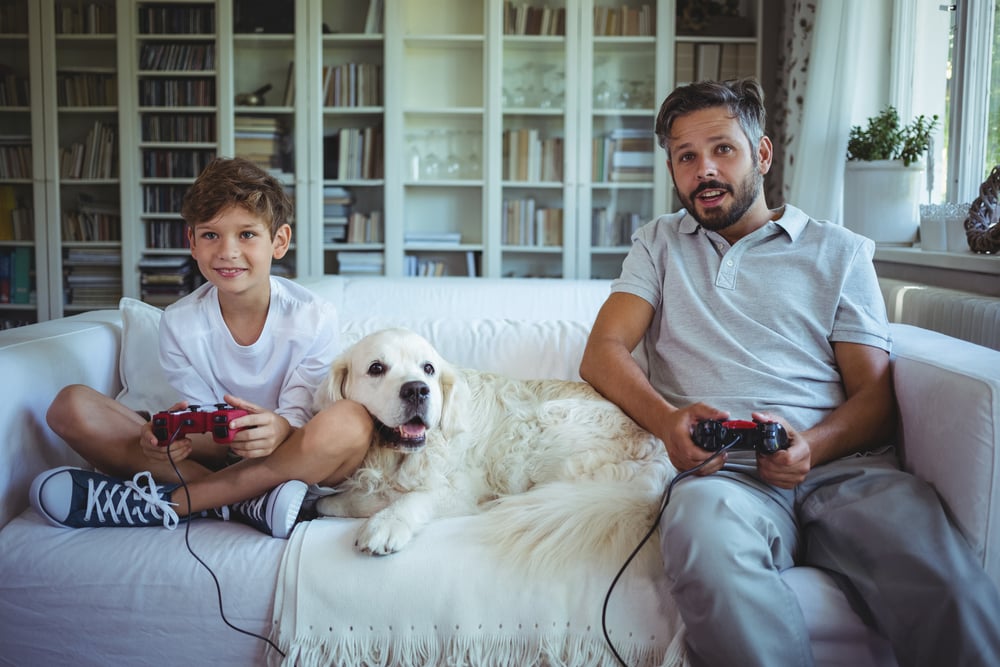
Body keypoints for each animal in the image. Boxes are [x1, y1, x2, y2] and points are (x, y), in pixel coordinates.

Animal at [312, 328, 672, 576]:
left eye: (428, 368)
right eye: (376, 368)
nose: (417, 390)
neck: (393, 458)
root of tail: (658, 452)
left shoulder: (463, 489)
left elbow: (415, 496)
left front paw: (386, 521)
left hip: (534, 427)